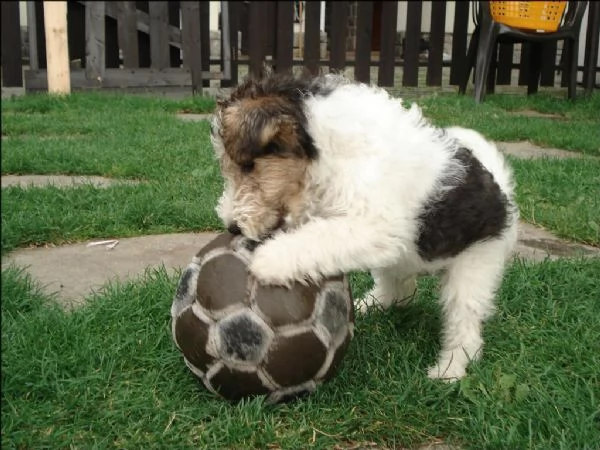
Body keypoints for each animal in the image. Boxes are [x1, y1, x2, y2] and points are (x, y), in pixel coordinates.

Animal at [209, 72, 516, 382]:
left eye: (248, 166)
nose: (232, 227)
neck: (325, 146)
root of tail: (503, 196)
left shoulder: (374, 225)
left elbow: (321, 237)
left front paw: (270, 259)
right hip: (403, 259)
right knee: (400, 289)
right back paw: (367, 305)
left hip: (475, 266)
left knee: (465, 322)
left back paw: (450, 368)